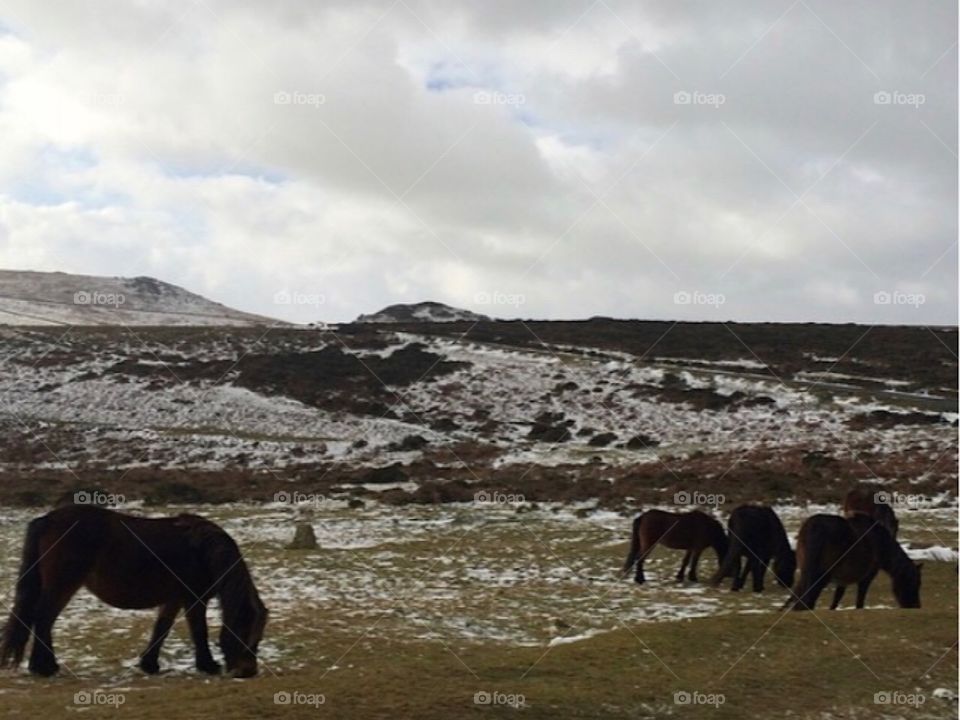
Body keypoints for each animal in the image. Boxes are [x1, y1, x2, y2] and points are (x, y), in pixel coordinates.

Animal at [0, 504, 268, 678]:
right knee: (43, 619)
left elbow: (161, 628)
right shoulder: (194, 599)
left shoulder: (174, 599)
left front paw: (149, 664)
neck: (203, 550)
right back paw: (44, 668)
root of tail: (46, 520)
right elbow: (199, 631)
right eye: (245, 631)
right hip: (62, 585)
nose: (247, 671)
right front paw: (208, 665)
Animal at [785, 513, 921, 611]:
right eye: (912, 582)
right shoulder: (867, 577)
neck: (880, 543)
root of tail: (813, 527)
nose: (916, 606)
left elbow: (836, 600)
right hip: (821, 575)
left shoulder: (842, 580)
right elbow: (859, 601)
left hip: (807, 570)